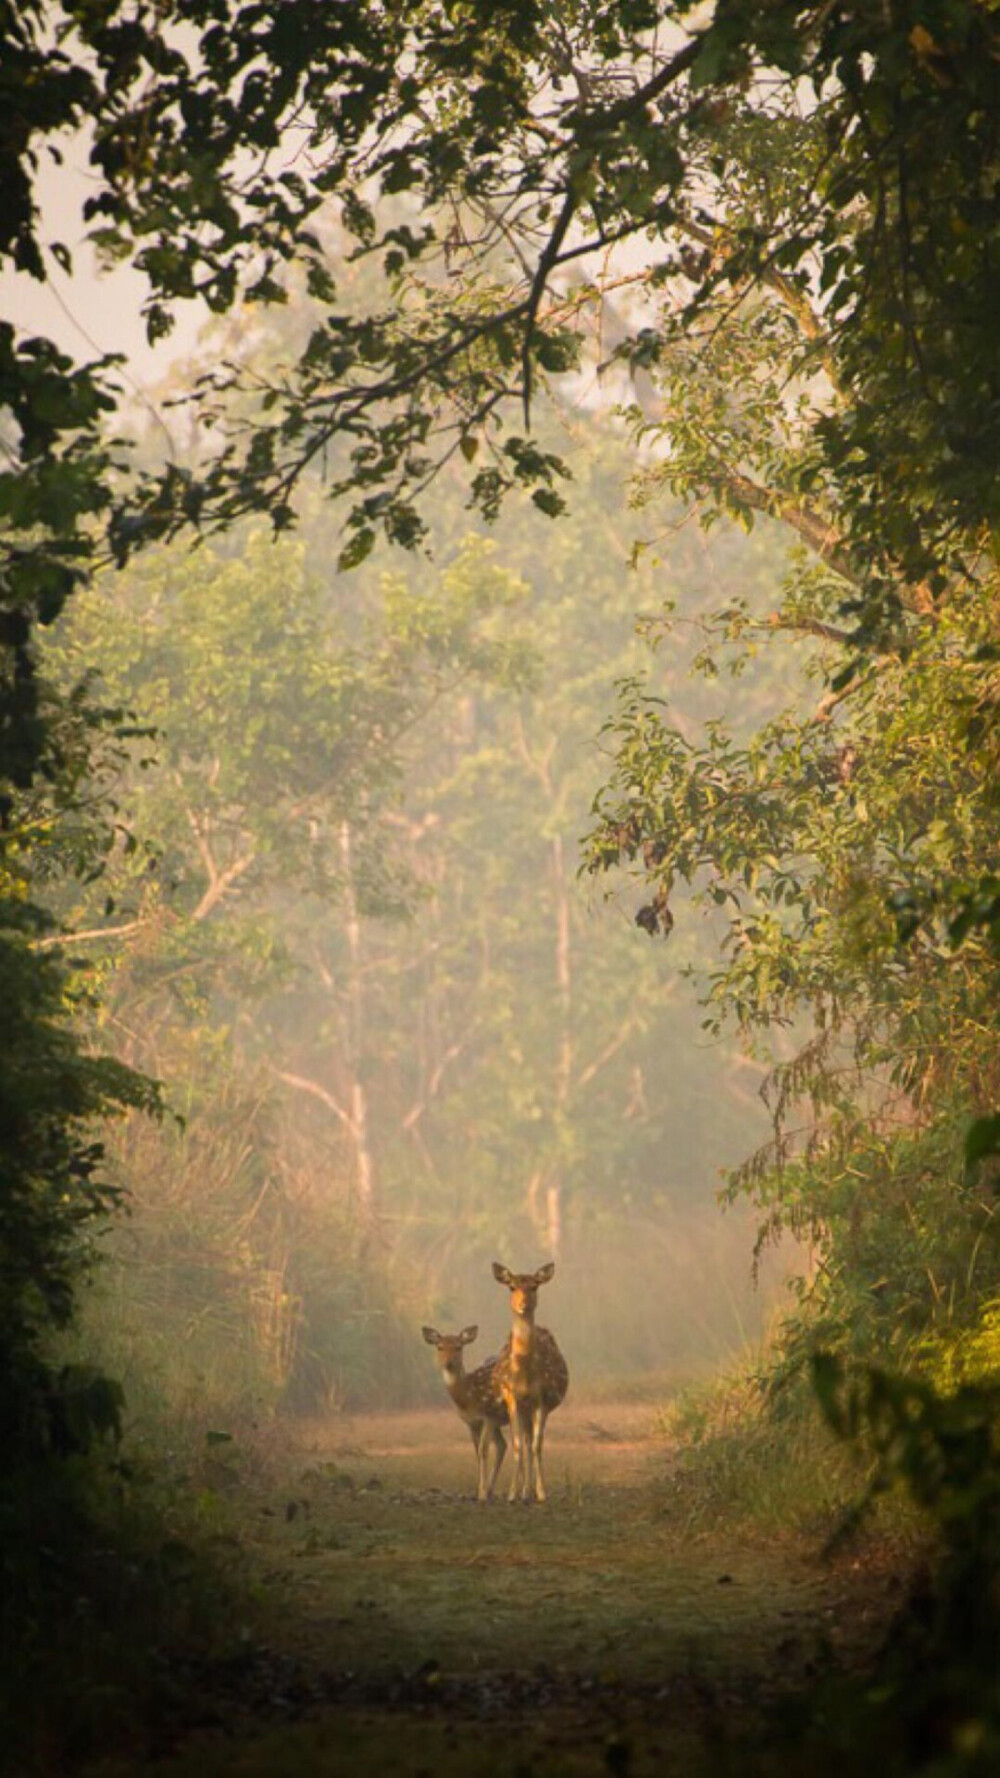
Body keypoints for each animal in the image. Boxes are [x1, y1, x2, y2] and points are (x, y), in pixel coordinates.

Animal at [418, 1322, 505, 1500]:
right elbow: (477, 1453)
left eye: (459, 1347)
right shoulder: (471, 1422)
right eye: (439, 1347)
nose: (448, 1363)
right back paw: (492, 1490)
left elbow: (484, 1450)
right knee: (503, 1445)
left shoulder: (488, 1417)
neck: (469, 1398)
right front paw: (481, 1491)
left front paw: (482, 1494)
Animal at [491, 1258, 569, 1507]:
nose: (523, 1304)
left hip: (533, 1408)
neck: (524, 1376)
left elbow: (537, 1445)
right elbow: (517, 1445)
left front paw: (542, 1492)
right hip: (523, 1409)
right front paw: (512, 1494)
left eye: (535, 1286)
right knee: (524, 1440)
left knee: (531, 1441)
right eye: (511, 1286)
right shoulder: (511, 1397)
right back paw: (525, 1491)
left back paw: (530, 1491)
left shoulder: (542, 1399)